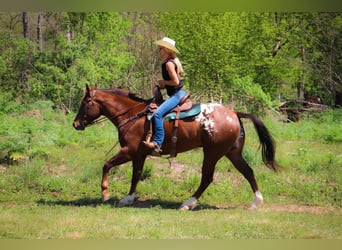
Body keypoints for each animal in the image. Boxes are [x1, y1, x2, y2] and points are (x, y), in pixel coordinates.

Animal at [73, 85, 280, 210]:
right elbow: (136, 175)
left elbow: (107, 165)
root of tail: (234, 113)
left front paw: (105, 193)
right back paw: (256, 201)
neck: (132, 115)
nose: (75, 124)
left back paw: (188, 203)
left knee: (207, 177)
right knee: (248, 171)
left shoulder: (129, 151)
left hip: (212, 153)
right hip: (232, 153)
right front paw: (129, 198)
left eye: (85, 102)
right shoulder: (139, 155)